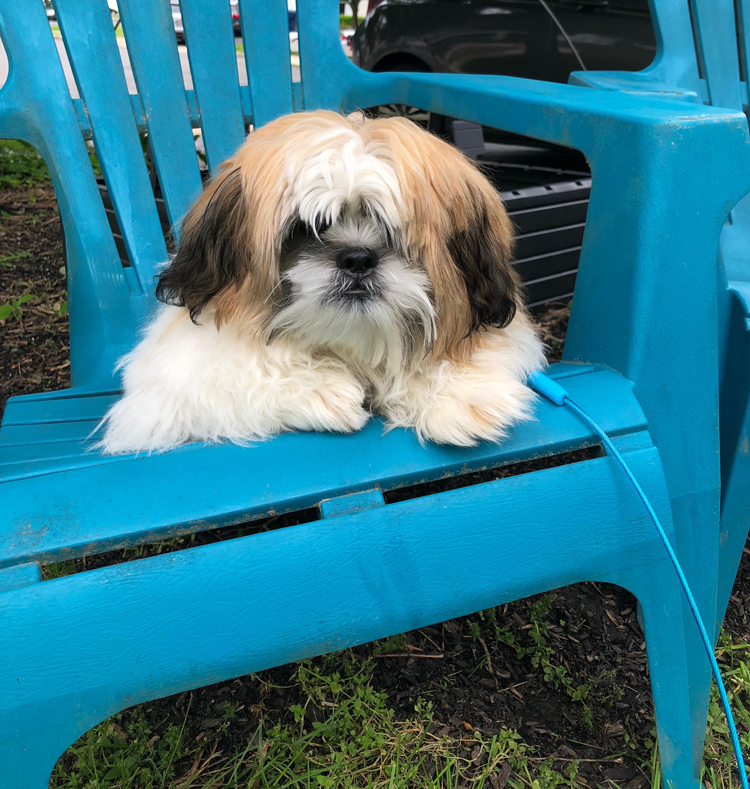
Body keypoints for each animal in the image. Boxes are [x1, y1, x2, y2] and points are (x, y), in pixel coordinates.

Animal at [101, 111, 548, 456]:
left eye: (392, 232)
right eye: (306, 227)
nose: (357, 258)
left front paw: (460, 395)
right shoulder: (162, 391)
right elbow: (238, 371)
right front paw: (323, 390)